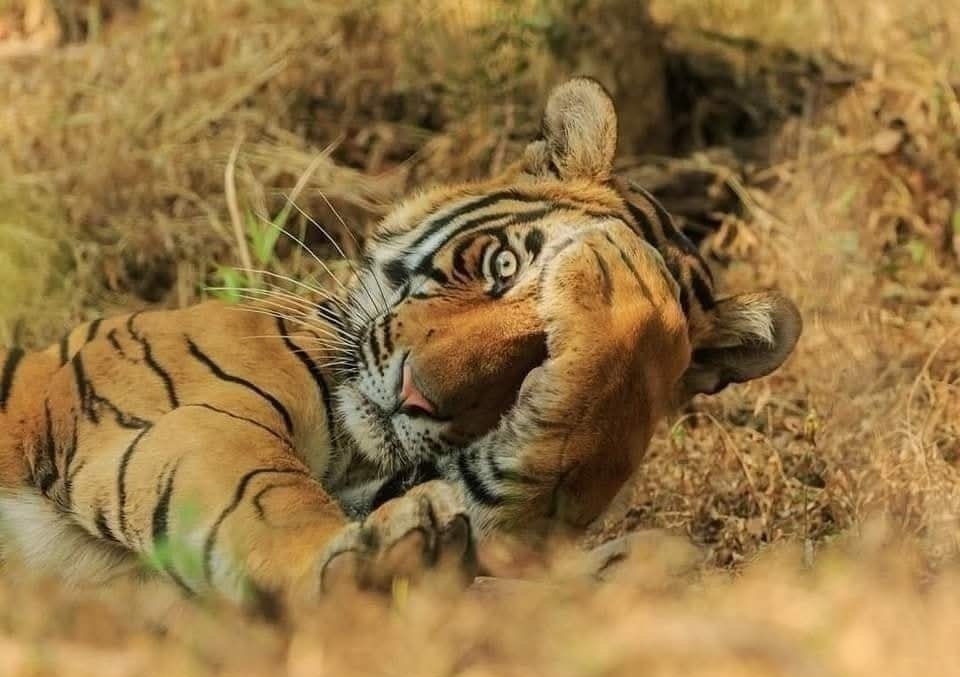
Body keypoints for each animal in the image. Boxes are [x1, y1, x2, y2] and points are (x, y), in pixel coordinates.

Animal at [0, 78, 801, 610]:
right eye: (502, 265)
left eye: (541, 360)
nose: (417, 396)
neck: (359, 452)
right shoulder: (186, 415)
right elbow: (263, 495)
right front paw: (365, 562)